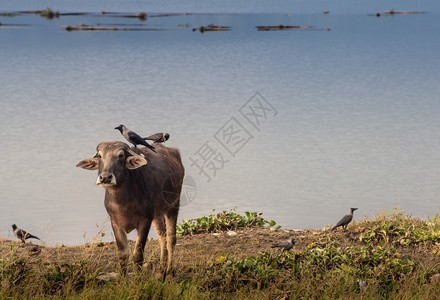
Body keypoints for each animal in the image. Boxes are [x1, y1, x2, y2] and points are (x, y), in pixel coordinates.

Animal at [76, 141, 183, 274]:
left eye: (121, 155)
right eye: (100, 156)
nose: (105, 177)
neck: (123, 204)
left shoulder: (145, 221)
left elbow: (138, 255)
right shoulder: (115, 222)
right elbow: (122, 255)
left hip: (173, 206)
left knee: (171, 238)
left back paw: (170, 271)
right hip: (157, 215)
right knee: (162, 235)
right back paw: (161, 270)